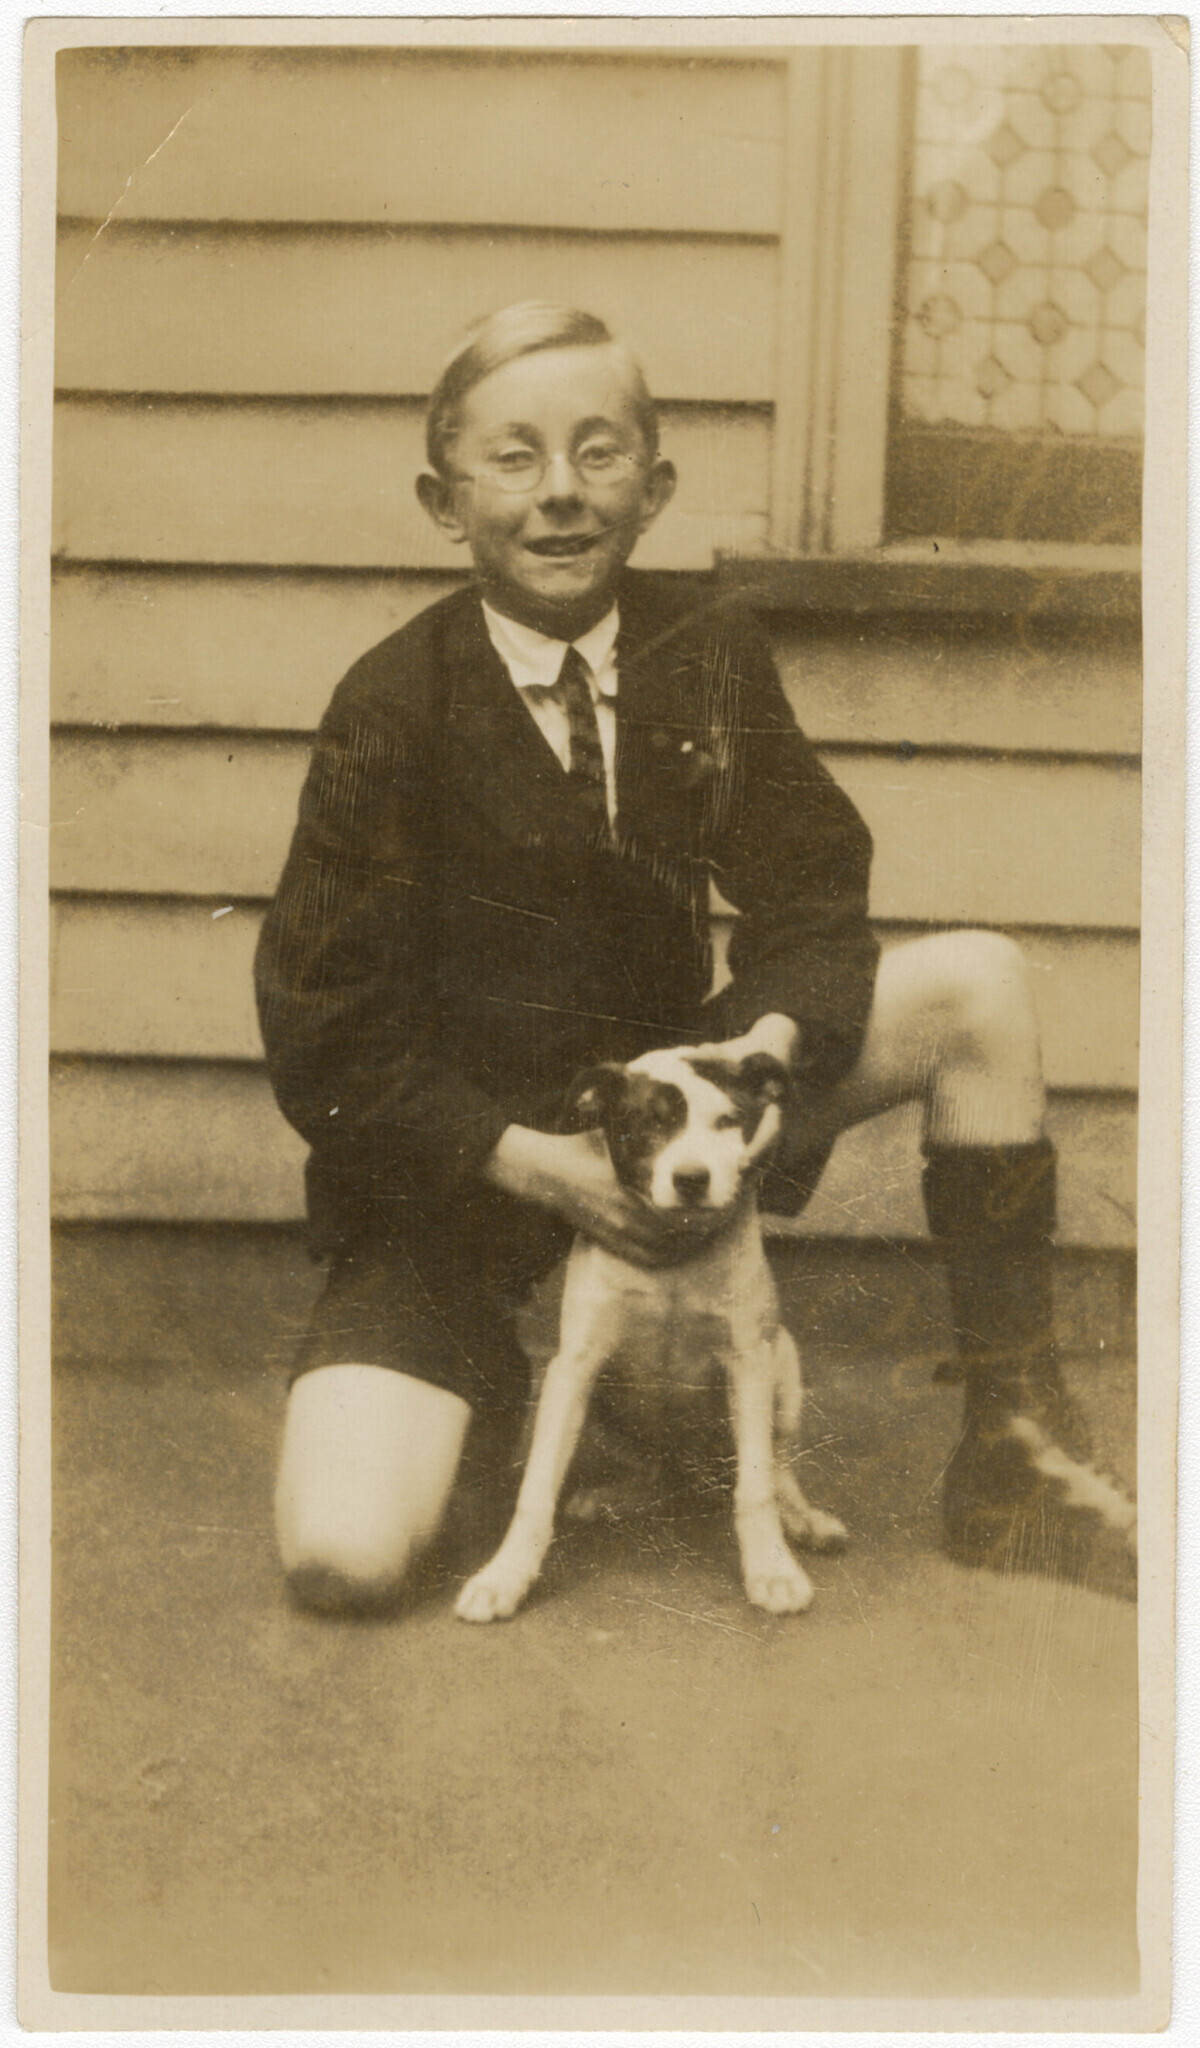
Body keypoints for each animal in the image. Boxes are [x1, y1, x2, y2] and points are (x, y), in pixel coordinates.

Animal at [455, 1043, 846, 1622]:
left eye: (728, 1120)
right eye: (646, 1124)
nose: (691, 1179)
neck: (675, 1256)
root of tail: (697, 1468)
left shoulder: (748, 1360)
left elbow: (755, 1490)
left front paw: (772, 1570)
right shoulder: (573, 1367)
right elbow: (537, 1487)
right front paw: (504, 1576)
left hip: (783, 1367)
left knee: (777, 1468)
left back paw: (804, 1520)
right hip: (597, 1401)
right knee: (655, 1467)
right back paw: (617, 1495)